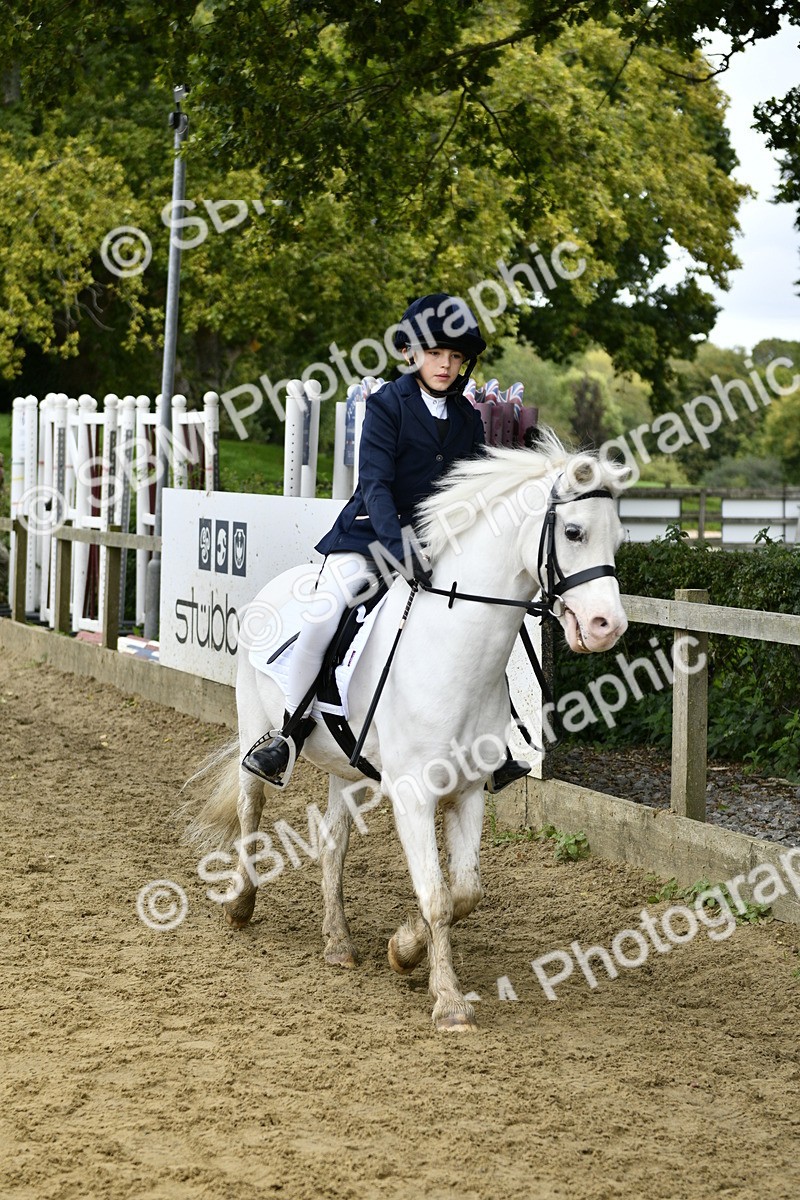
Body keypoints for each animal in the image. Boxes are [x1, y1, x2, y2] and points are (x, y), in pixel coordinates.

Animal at [185, 432, 630, 1032]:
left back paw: (338, 942)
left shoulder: (467, 793)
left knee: (333, 844)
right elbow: (436, 895)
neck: (455, 649)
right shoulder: (414, 796)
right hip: (256, 729)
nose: (609, 627)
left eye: (619, 539)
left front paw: (404, 950)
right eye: (575, 532)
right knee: (250, 811)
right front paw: (448, 1001)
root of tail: (275, 585)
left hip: (345, 765)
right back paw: (240, 903)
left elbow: (463, 892)